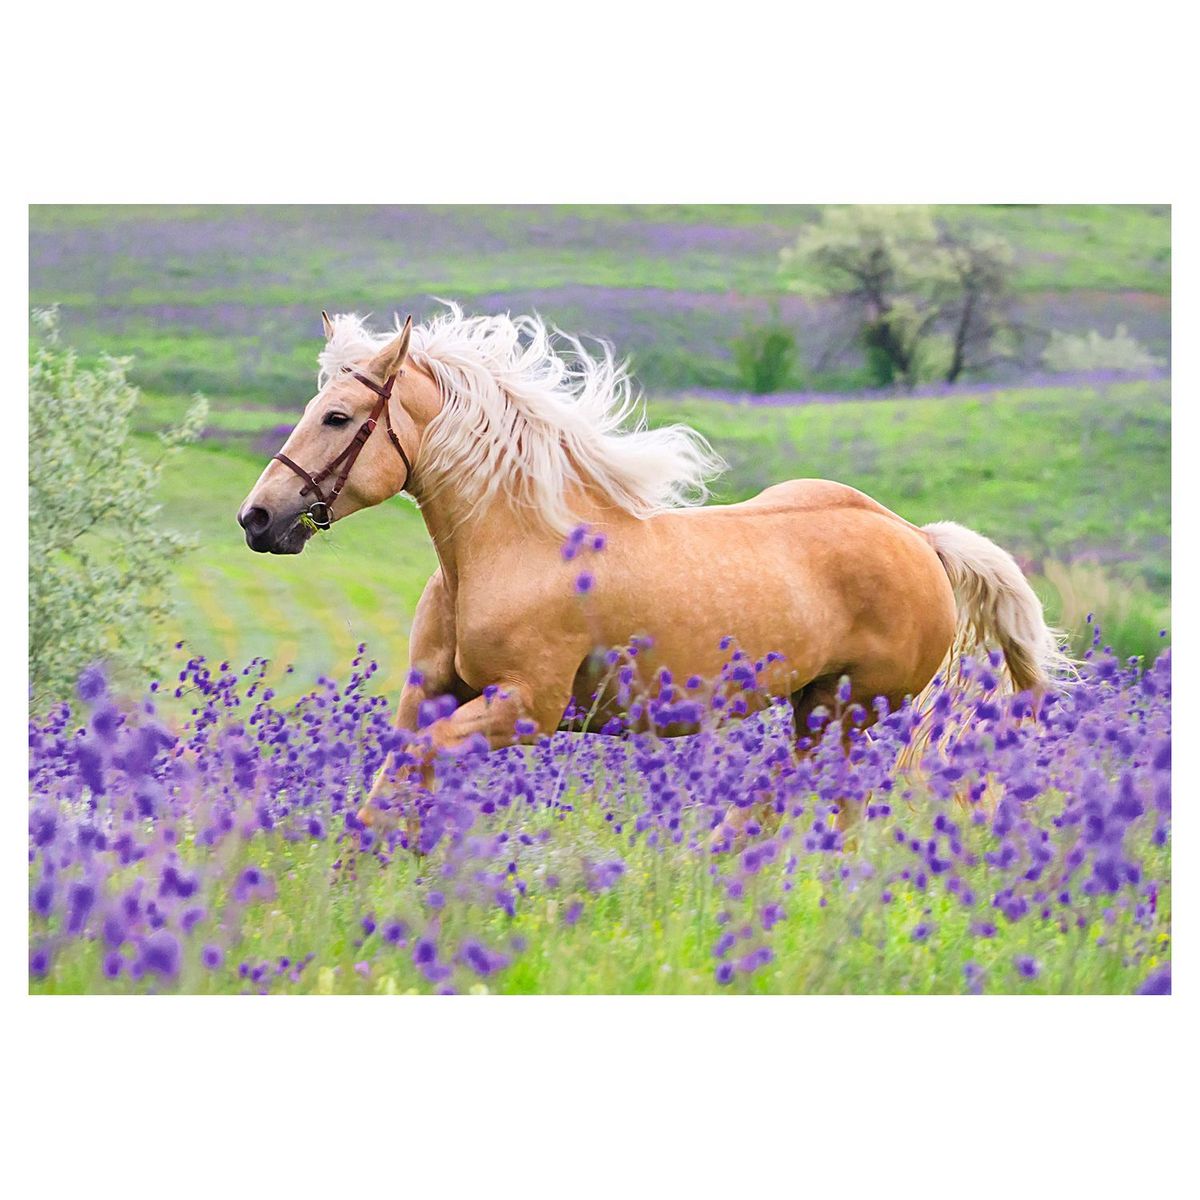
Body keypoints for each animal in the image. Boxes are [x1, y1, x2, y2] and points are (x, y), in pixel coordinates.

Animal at [237, 304, 1069, 839]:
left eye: (338, 418)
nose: (259, 518)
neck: (514, 546)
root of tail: (917, 538)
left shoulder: (525, 709)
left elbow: (415, 773)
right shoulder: (434, 695)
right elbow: (390, 787)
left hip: (856, 711)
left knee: (831, 803)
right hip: (815, 706)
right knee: (792, 796)